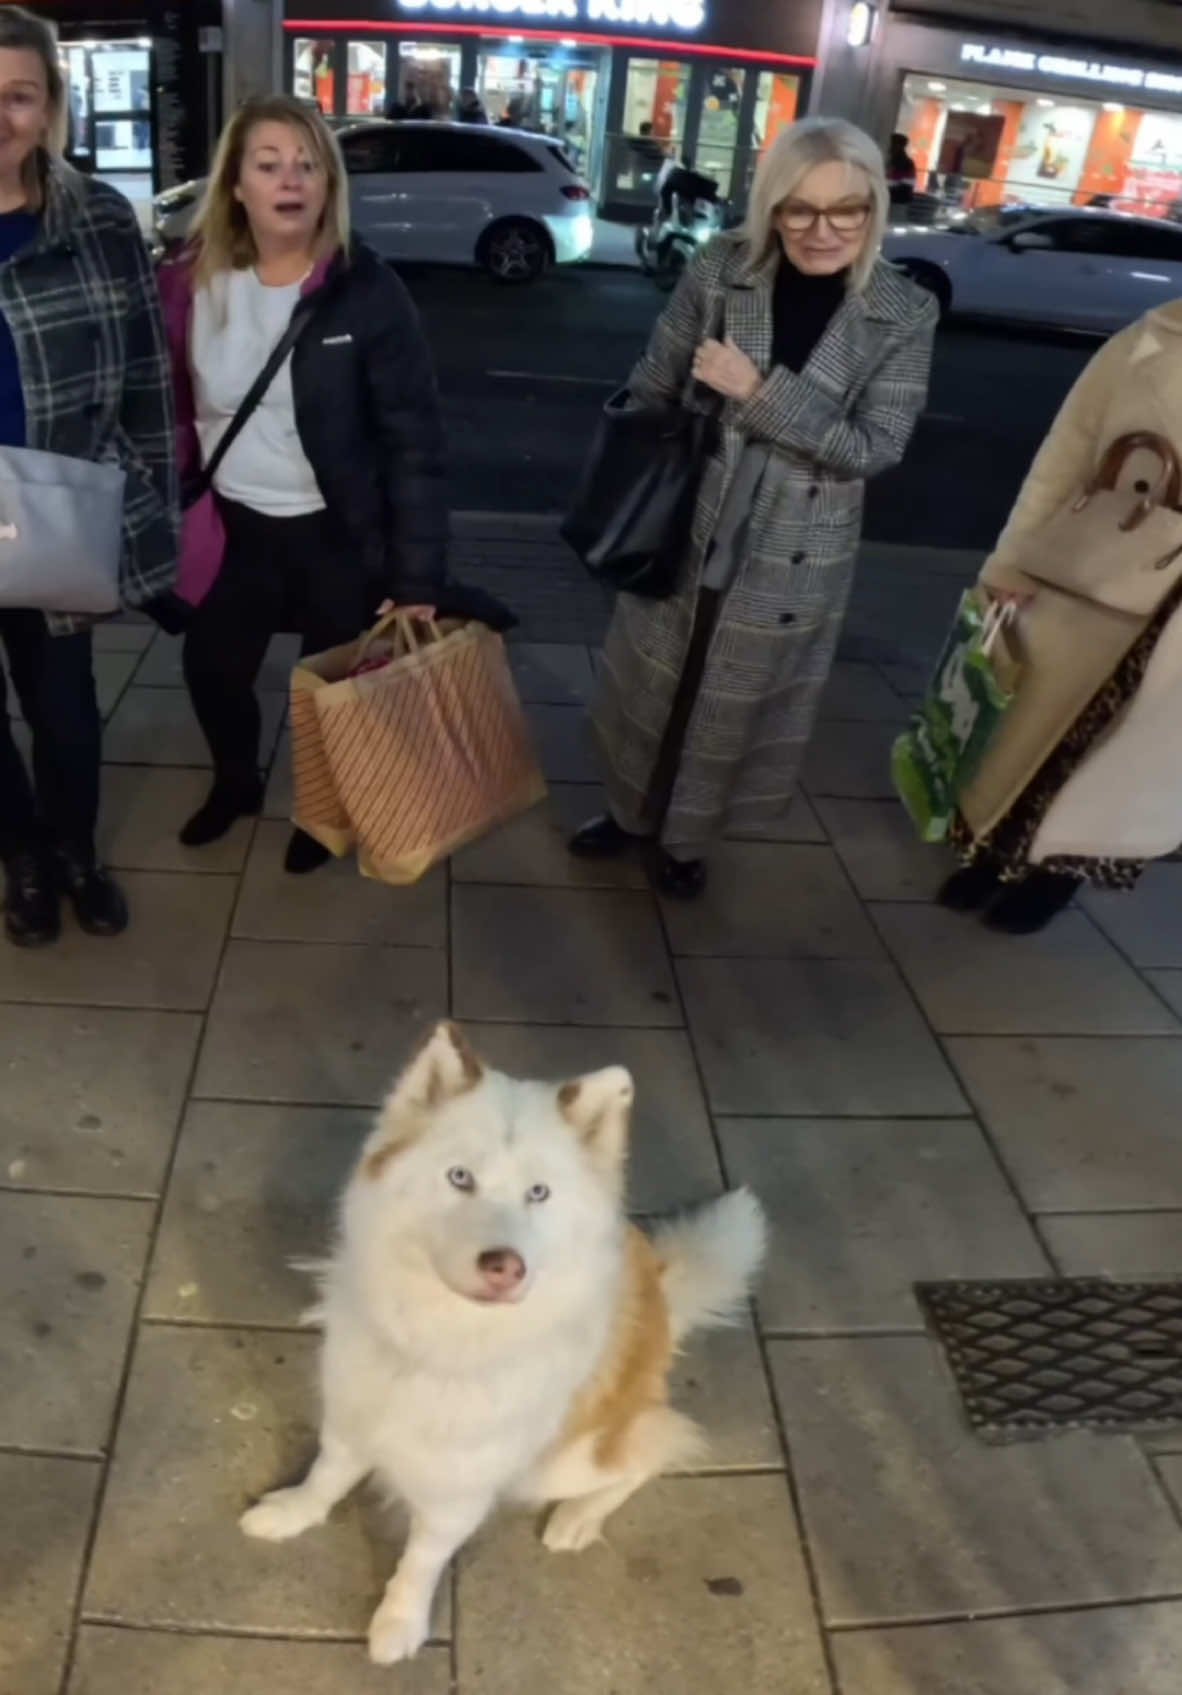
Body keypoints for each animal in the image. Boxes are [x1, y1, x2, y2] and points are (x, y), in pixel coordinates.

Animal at [239, 1017, 766, 1667]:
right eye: (460, 1177)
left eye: (539, 1192)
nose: (504, 1266)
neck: (444, 1337)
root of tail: (664, 1303)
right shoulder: (352, 1411)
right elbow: (327, 1474)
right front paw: (293, 1513)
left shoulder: (459, 1490)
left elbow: (422, 1557)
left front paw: (400, 1620)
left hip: (558, 1463)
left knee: (653, 1453)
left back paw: (577, 1518)